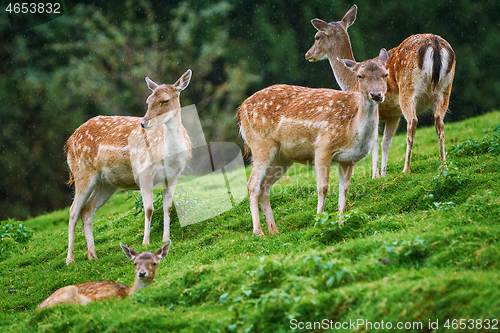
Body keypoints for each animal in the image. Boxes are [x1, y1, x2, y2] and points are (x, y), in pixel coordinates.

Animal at [65, 68, 193, 264]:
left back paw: (93, 255)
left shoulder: (173, 175)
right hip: (82, 172)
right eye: (148, 101)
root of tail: (68, 142)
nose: (144, 123)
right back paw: (70, 259)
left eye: (165, 100)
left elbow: (168, 207)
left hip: (106, 183)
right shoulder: (144, 172)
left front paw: (166, 238)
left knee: (86, 210)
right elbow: (149, 209)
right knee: (73, 211)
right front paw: (146, 242)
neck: (168, 155)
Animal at [236, 48, 388, 236]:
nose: (376, 94)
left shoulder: (349, 159)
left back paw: (274, 231)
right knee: (252, 185)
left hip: (282, 157)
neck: (352, 128)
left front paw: (341, 223)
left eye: (386, 74)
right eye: (360, 76)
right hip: (260, 144)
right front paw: (318, 223)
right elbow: (323, 187)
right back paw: (258, 232)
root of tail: (240, 110)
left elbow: (344, 189)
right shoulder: (323, 146)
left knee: (265, 187)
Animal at [304, 3, 458, 178]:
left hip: (408, 89)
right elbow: (386, 143)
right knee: (439, 121)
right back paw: (444, 164)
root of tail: (435, 44)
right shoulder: (393, 116)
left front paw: (375, 175)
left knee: (413, 121)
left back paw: (406, 169)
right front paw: (383, 174)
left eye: (317, 37)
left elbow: (375, 142)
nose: (308, 54)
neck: (352, 82)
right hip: (444, 88)